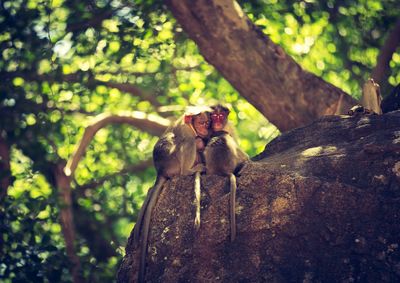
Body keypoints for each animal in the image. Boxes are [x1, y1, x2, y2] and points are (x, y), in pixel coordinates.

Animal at [133, 107, 211, 283]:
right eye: (201, 122)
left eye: (207, 123)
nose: (204, 129)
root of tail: (161, 171)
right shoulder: (186, 131)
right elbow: (188, 139)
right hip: (174, 163)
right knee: (189, 143)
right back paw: (189, 170)